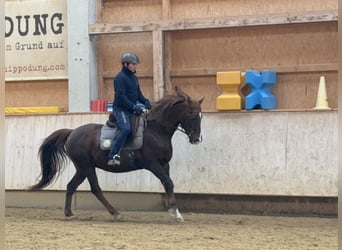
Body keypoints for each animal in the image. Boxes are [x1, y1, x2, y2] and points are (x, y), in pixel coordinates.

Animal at [28, 86, 203, 223]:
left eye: (201, 116)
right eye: (193, 116)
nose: (197, 139)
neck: (156, 130)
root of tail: (72, 132)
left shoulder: (164, 164)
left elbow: (168, 184)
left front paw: (174, 212)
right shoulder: (153, 164)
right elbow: (168, 182)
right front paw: (175, 213)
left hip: (82, 168)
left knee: (71, 186)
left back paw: (69, 213)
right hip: (86, 167)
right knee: (95, 188)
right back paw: (115, 213)